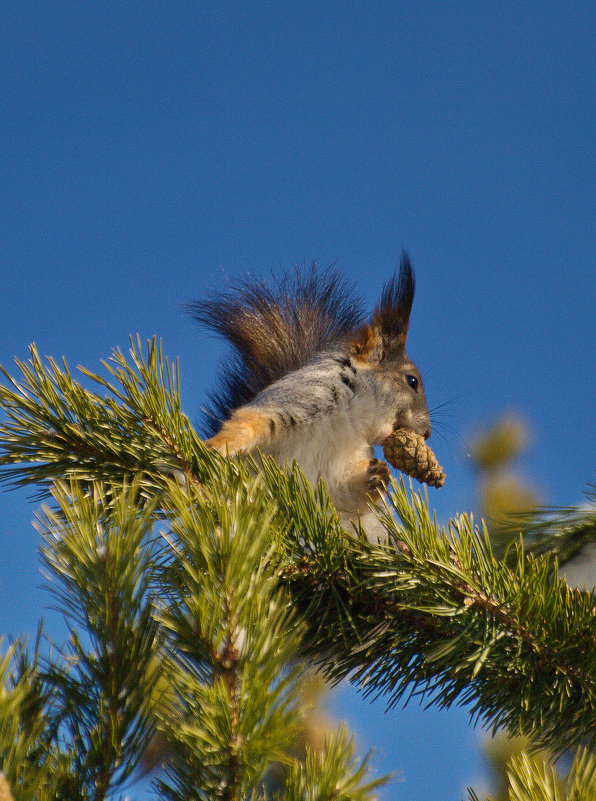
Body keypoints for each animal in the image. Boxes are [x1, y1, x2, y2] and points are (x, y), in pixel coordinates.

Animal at [189, 253, 430, 540]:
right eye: (412, 381)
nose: (427, 433)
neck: (350, 420)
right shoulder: (295, 400)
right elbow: (248, 424)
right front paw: (216, 446)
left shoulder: (339, 468)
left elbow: (344, 492)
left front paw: (377, 475)